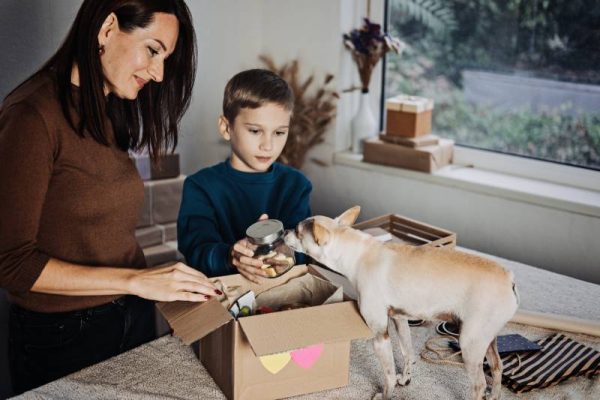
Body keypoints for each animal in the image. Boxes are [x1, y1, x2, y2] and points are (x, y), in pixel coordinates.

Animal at [284, 208, 516, 398]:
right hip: (487, 340)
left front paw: (385, 395)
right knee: (497, 368)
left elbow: (387, 375)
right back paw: (494, 395)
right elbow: (407, 353)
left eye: (297, 231)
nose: (285, 230)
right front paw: (405, 379)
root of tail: (509, 279)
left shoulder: (380, 337)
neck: (358, 253)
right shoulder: (400, 320)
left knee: (479, 385)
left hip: (469, 343)